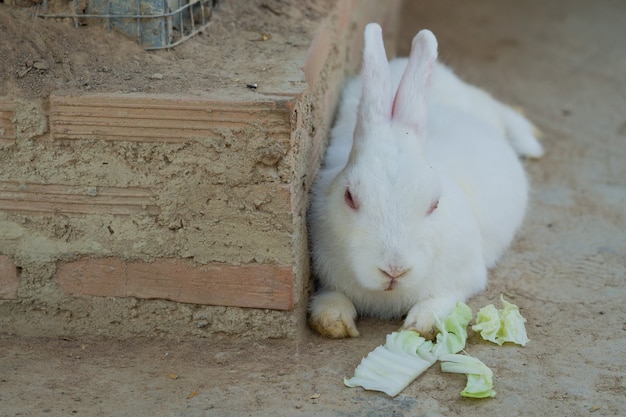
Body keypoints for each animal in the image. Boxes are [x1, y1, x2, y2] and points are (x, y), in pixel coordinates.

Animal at [308, 23, 540, 338]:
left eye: (434, 204)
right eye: (350, 197)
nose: (393, 270)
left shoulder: (465, 276)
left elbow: (443, 298)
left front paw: (423, 324)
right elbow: (333, 295)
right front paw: (333, 322)